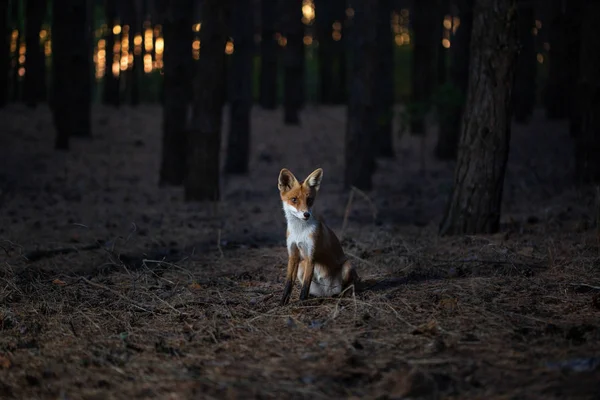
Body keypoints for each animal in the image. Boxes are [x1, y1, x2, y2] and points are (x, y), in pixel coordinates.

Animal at [278, 167, 358, 304]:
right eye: (294, 200)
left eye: (309, 200)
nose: (306, 214)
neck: (299, 232)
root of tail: (327, 292)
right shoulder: (293, 255)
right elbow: (289, 282)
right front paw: (283, 302)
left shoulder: (311, 255)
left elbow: (305, 285)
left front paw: (301, 303)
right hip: (301, 267)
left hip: (348, 266)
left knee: (349, 286)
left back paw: (344, 295)